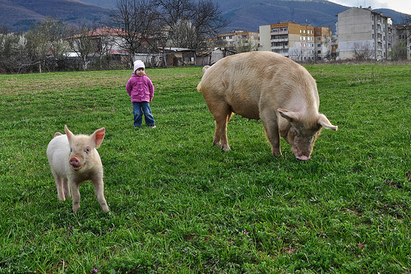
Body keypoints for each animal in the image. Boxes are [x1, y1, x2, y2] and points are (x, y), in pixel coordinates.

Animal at [199, 50, 338, 161]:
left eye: (314, 135)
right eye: (295, 131)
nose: (304, 157)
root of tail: (208, 71)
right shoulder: (266, 111)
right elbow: (274, 136)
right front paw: (278, 156)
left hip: (228, 107)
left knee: (219, 123)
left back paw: (216, 144)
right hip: (216, 100)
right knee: (222, 126)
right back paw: (226, 149)